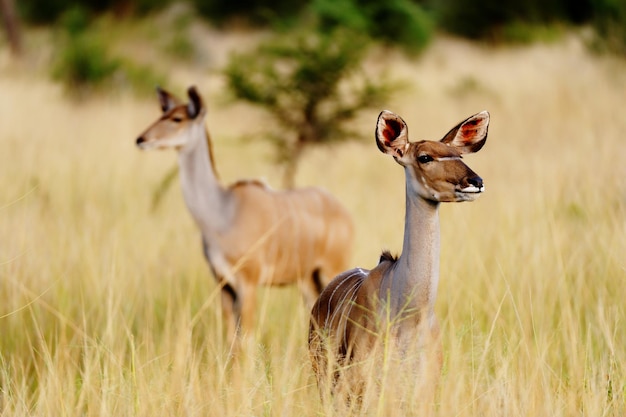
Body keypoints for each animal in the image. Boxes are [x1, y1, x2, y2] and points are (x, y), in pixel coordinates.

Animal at [135, 86, 354, 346]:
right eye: (163, 113)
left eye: (177, 118)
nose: (142, 139)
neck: (222, 212)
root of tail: (344, 212)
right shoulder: (223, 285)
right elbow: (231, 339)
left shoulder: (248, 283)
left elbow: (246, 341)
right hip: (309, 281)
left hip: (331, 271)